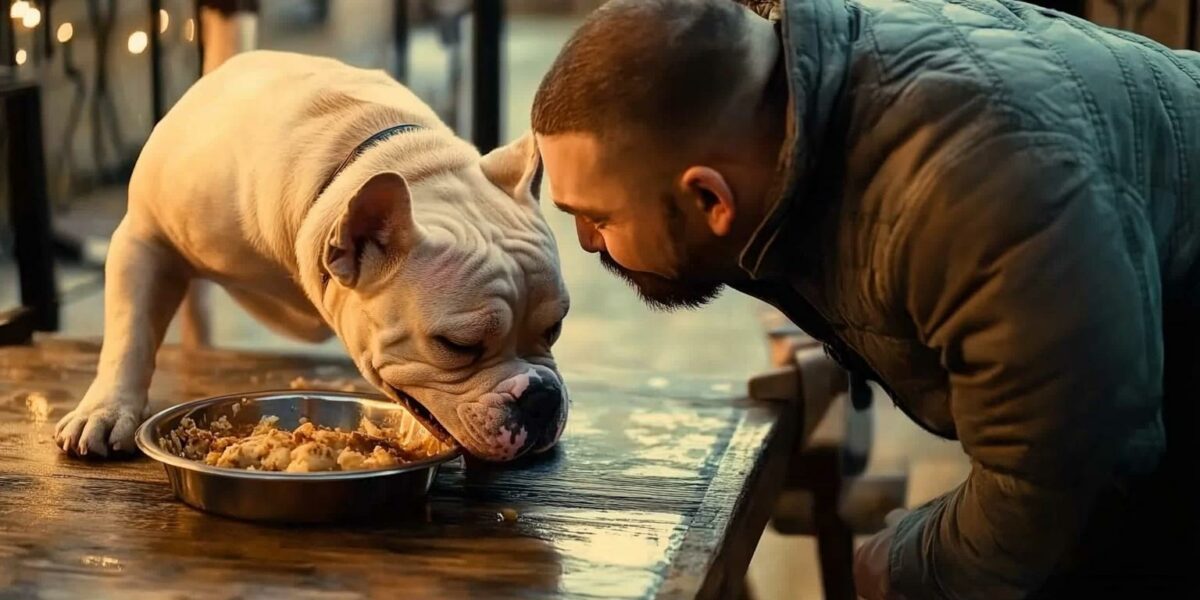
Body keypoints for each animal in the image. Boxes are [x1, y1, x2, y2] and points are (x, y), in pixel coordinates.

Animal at [51, 52, 566, 463]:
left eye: (555, 329)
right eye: (456, 346)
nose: (541, 398)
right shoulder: (146, 235)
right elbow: (129, 331)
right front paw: (105, 410)